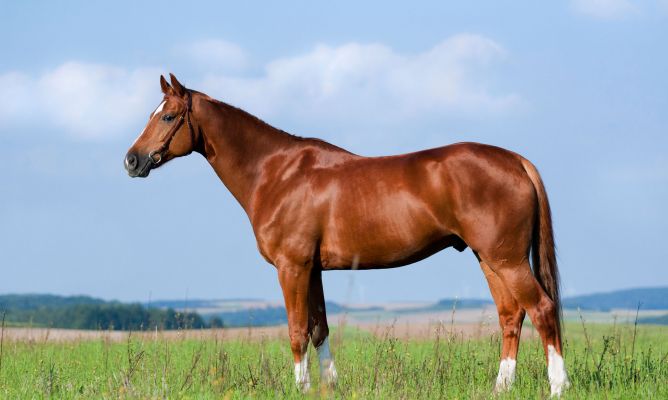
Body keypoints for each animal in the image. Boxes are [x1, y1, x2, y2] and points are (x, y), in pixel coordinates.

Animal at [125, 74, 570, 396]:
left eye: (168, 117)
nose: (132, 160)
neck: (276, 173)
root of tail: (515, 160)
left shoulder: (292, 267)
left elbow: (296, 331)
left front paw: (301, 388)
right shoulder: (314, 270)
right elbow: (319, 328)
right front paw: (329, 386)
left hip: (507, 259)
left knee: (542, 309)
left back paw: (557, 387)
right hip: (489, 259)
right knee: (511, 315)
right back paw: (501, 387)